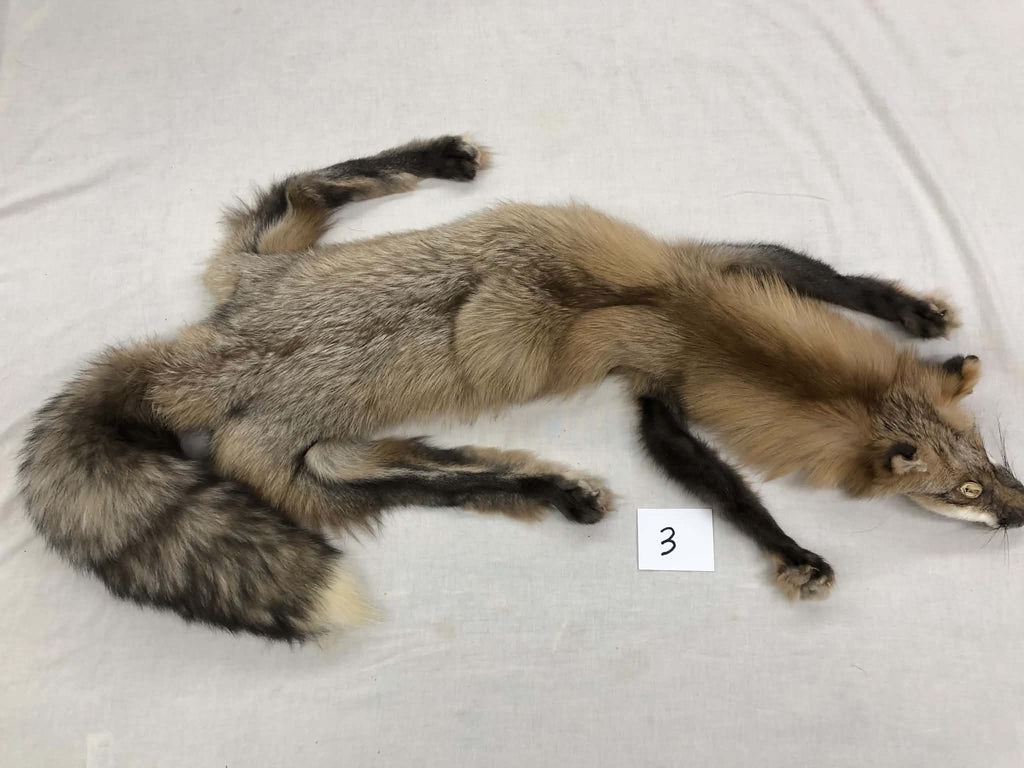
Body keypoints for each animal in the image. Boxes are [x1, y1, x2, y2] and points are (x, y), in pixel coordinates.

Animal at [19, 135, 1024, 641]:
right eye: (962, 490)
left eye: (987, 456)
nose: (1022, 512)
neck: (708, 324)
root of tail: (214, 353)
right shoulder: (664, 381)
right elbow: (714, 481)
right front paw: (793, 552)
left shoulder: (716, 268)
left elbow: (828, 279)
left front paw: (914, 316)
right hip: (298, 457)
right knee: (417, 477)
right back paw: (554, 487)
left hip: (270, 272)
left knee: (303, 186)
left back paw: (441, 160)